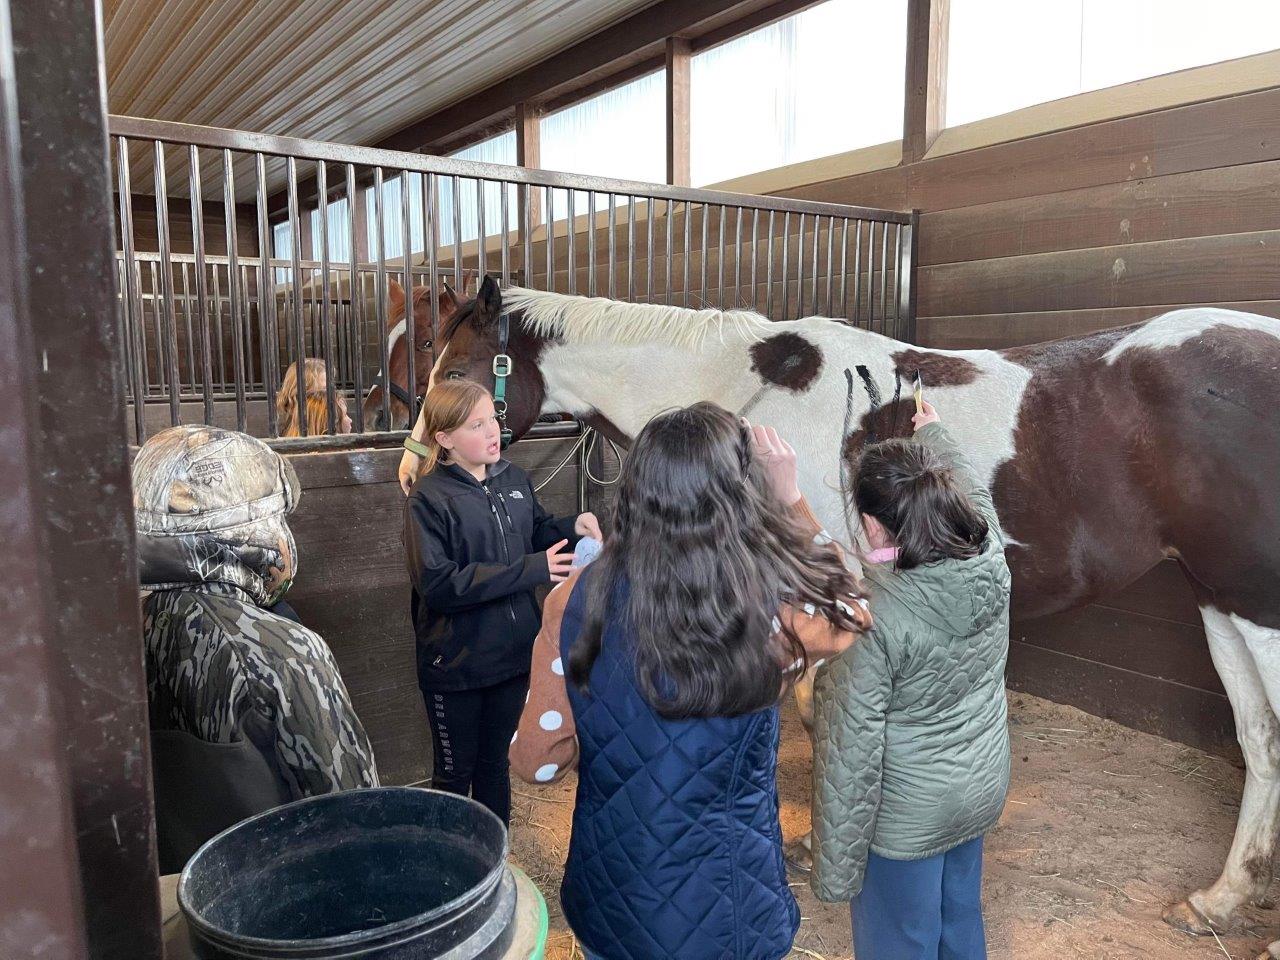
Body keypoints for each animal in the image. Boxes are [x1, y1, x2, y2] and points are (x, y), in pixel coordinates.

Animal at [427, 273, 1280, 957]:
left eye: (461, 370)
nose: (420, 471)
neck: (745, 396)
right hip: (1222, 597)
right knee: (1260, 740)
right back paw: (1222, 900)